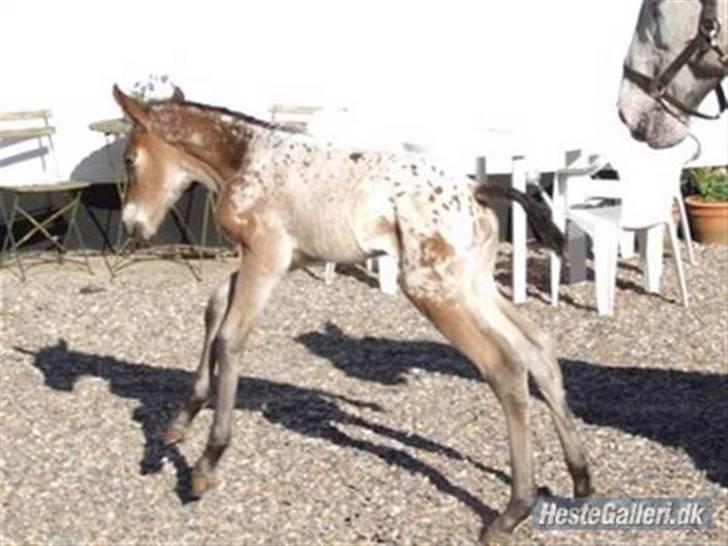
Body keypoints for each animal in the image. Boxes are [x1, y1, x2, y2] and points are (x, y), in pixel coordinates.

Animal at [112, 84, 592, 540]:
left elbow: (232, 338)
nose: (134, 225)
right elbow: (215, 305)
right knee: (538, 349)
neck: (244, 156)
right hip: (471, 287)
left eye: (130, 159)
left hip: (435, 291)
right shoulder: (285, 260)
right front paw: (180, 421)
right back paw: (581, 479)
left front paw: (206, 465)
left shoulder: (265, 255)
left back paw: (511, 512)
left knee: (505, 367)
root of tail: (477, 189)